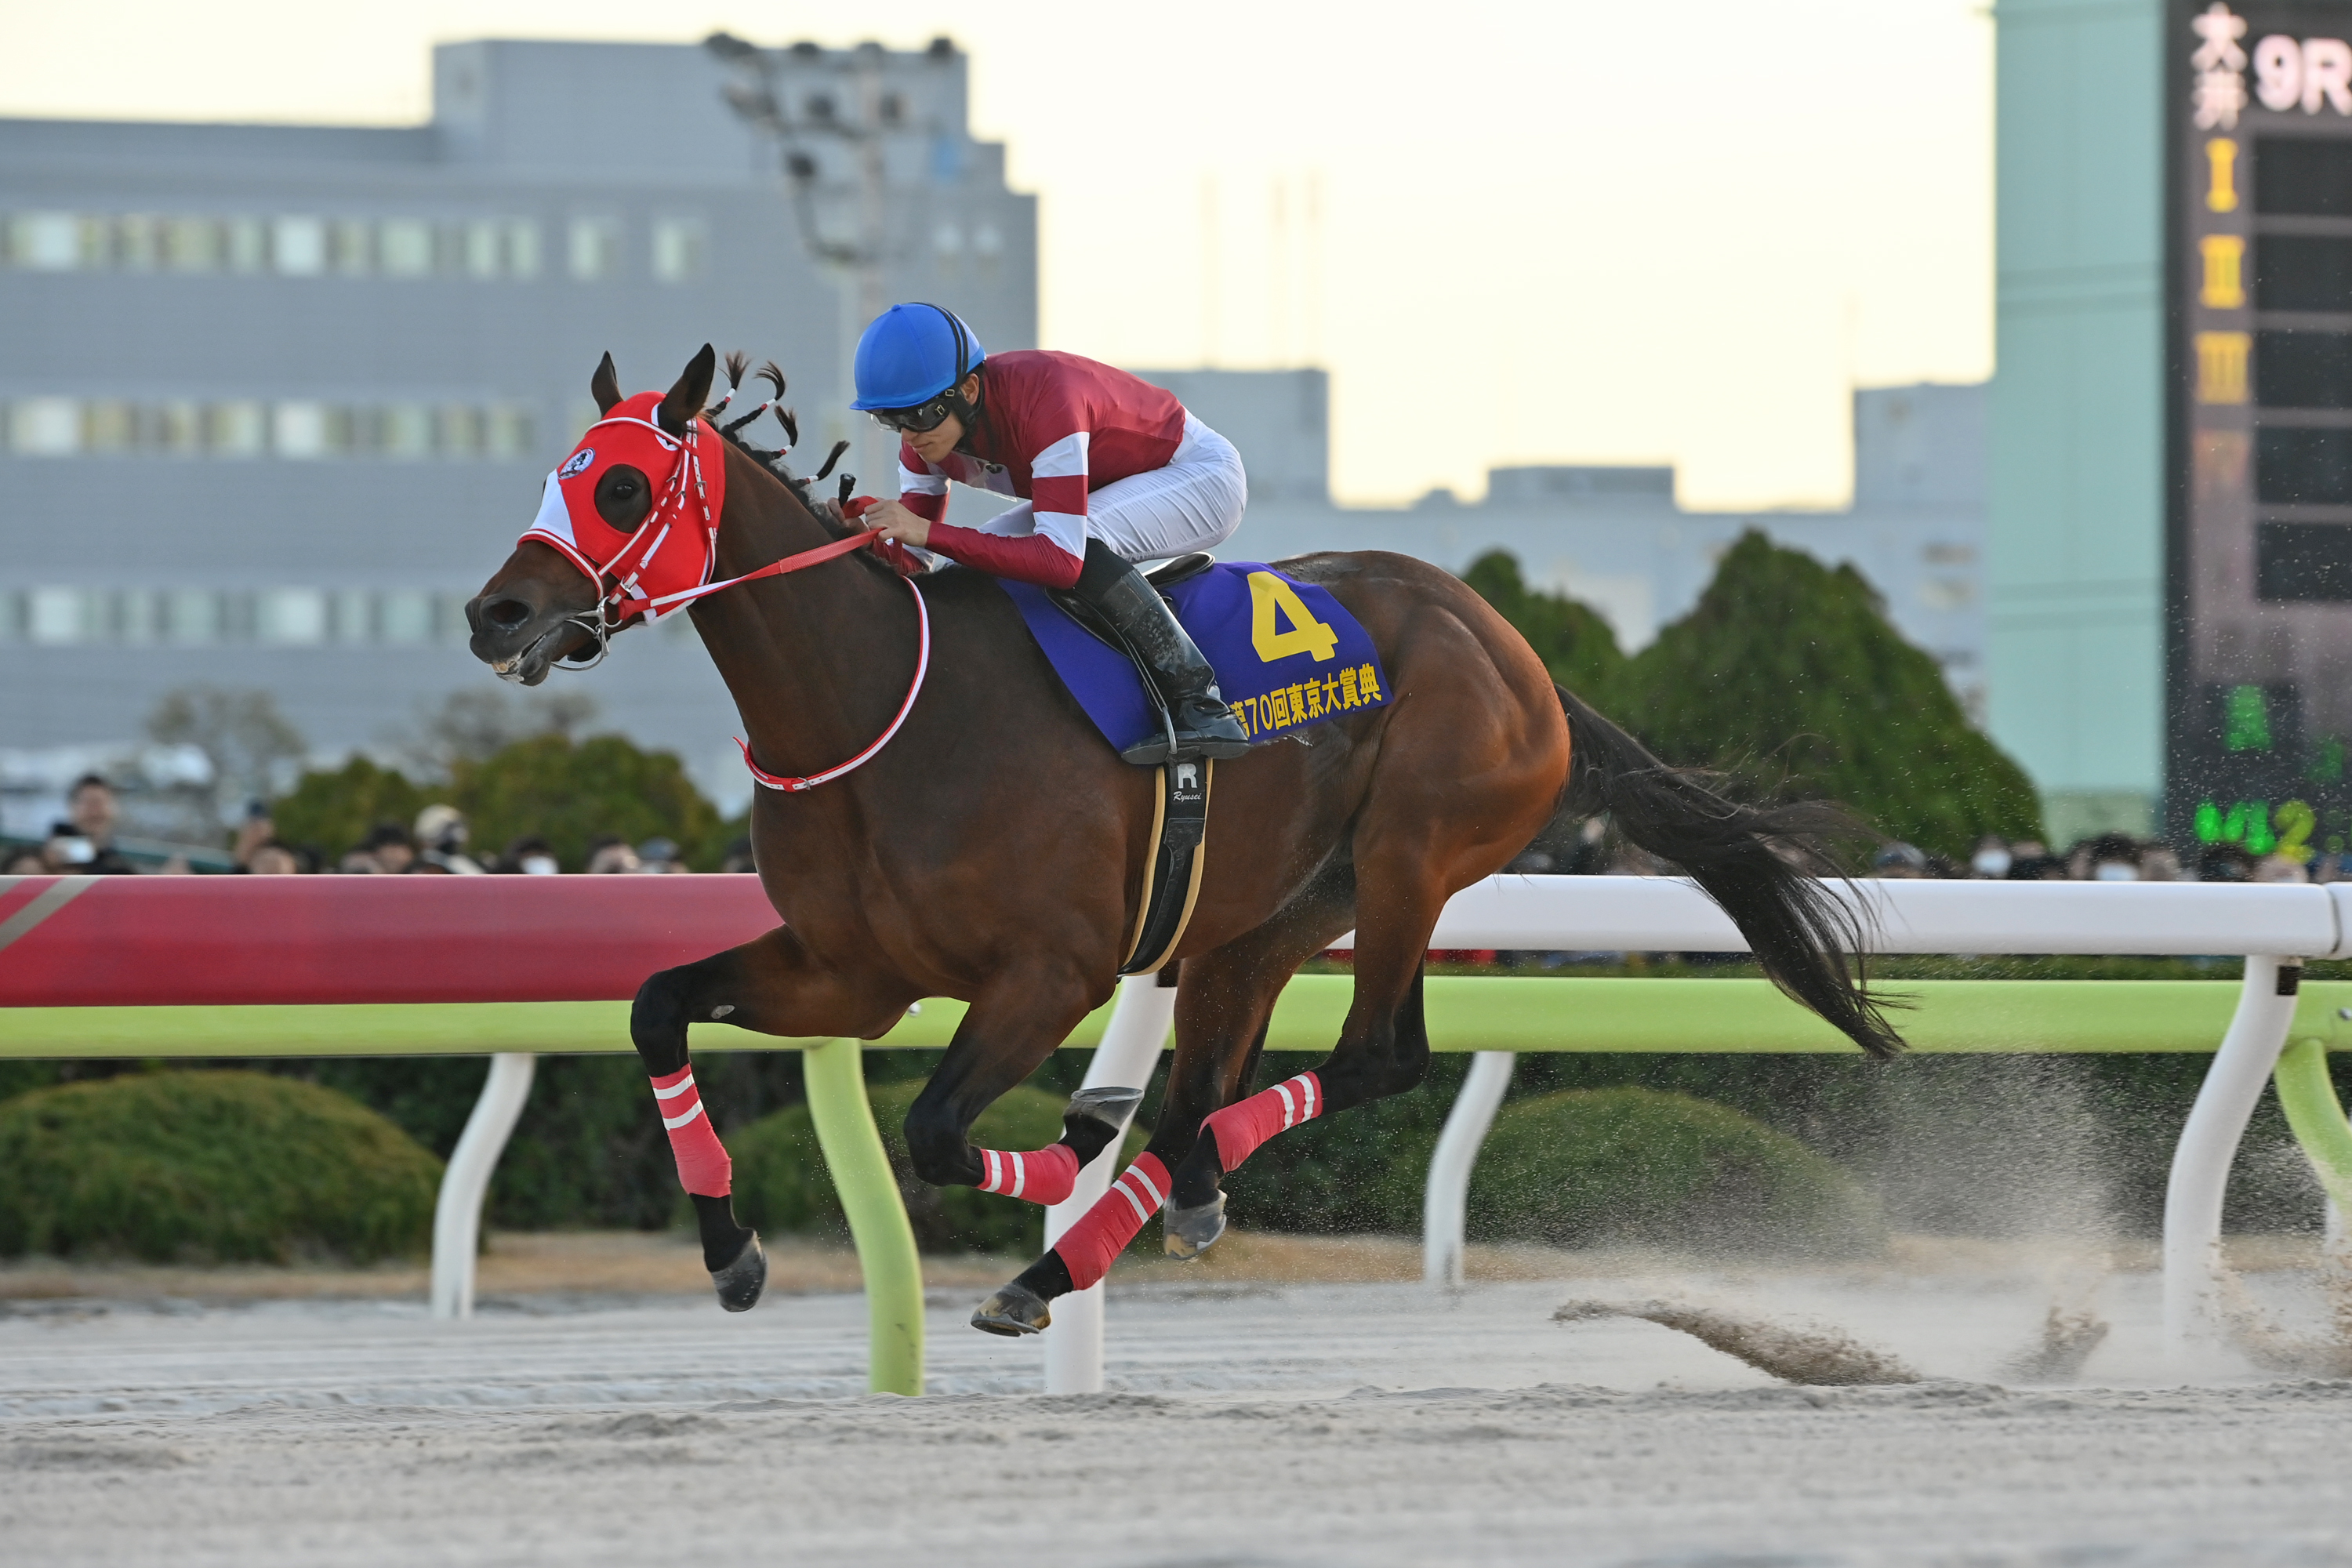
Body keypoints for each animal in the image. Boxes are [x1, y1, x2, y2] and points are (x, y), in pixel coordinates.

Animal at [465, 345, 1903, 1332]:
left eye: (625, 484)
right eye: (552, 475)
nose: (495, 614)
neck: (883, 703)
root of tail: (1521, 657)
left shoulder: (1048, 974)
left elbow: (936, 1131)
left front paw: (1067, 1142)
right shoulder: (850, 974)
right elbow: (658, 1009)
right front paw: (732, 1255)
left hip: (1413, 857)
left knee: (1376, 1057)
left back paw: (1120, 1207)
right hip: (1272, 911)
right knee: (1225, 1069)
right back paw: (1138, 1211)